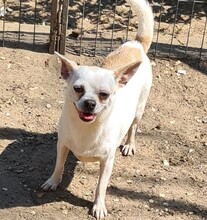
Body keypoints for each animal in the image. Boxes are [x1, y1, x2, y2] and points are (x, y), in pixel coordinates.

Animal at [41, 0, 154, 219]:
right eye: (78, 89)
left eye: (104, 94)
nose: (90, 103)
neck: (87, 129)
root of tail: (136, 45)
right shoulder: (62, 145)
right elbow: (59, 165)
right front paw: (53, 181)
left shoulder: (107, 162)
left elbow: (101, 186)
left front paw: (99, 206)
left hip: (139, 110)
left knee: (133, 128)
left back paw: (129, 144)